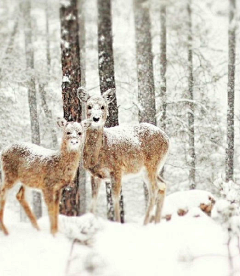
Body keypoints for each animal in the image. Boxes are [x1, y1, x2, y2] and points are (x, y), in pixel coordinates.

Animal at [78, 88, 169, 224]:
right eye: (89, 106)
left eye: (103, 106)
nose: (95, 118)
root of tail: (167, 139)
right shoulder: (94, 175)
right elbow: (93, 200)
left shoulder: (117, 169)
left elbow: (115, 198)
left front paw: (117, 222)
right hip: (149, 170)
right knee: (163, 185)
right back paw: (156, 222)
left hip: (152, 164)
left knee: (154, 189)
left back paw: (145, 222)